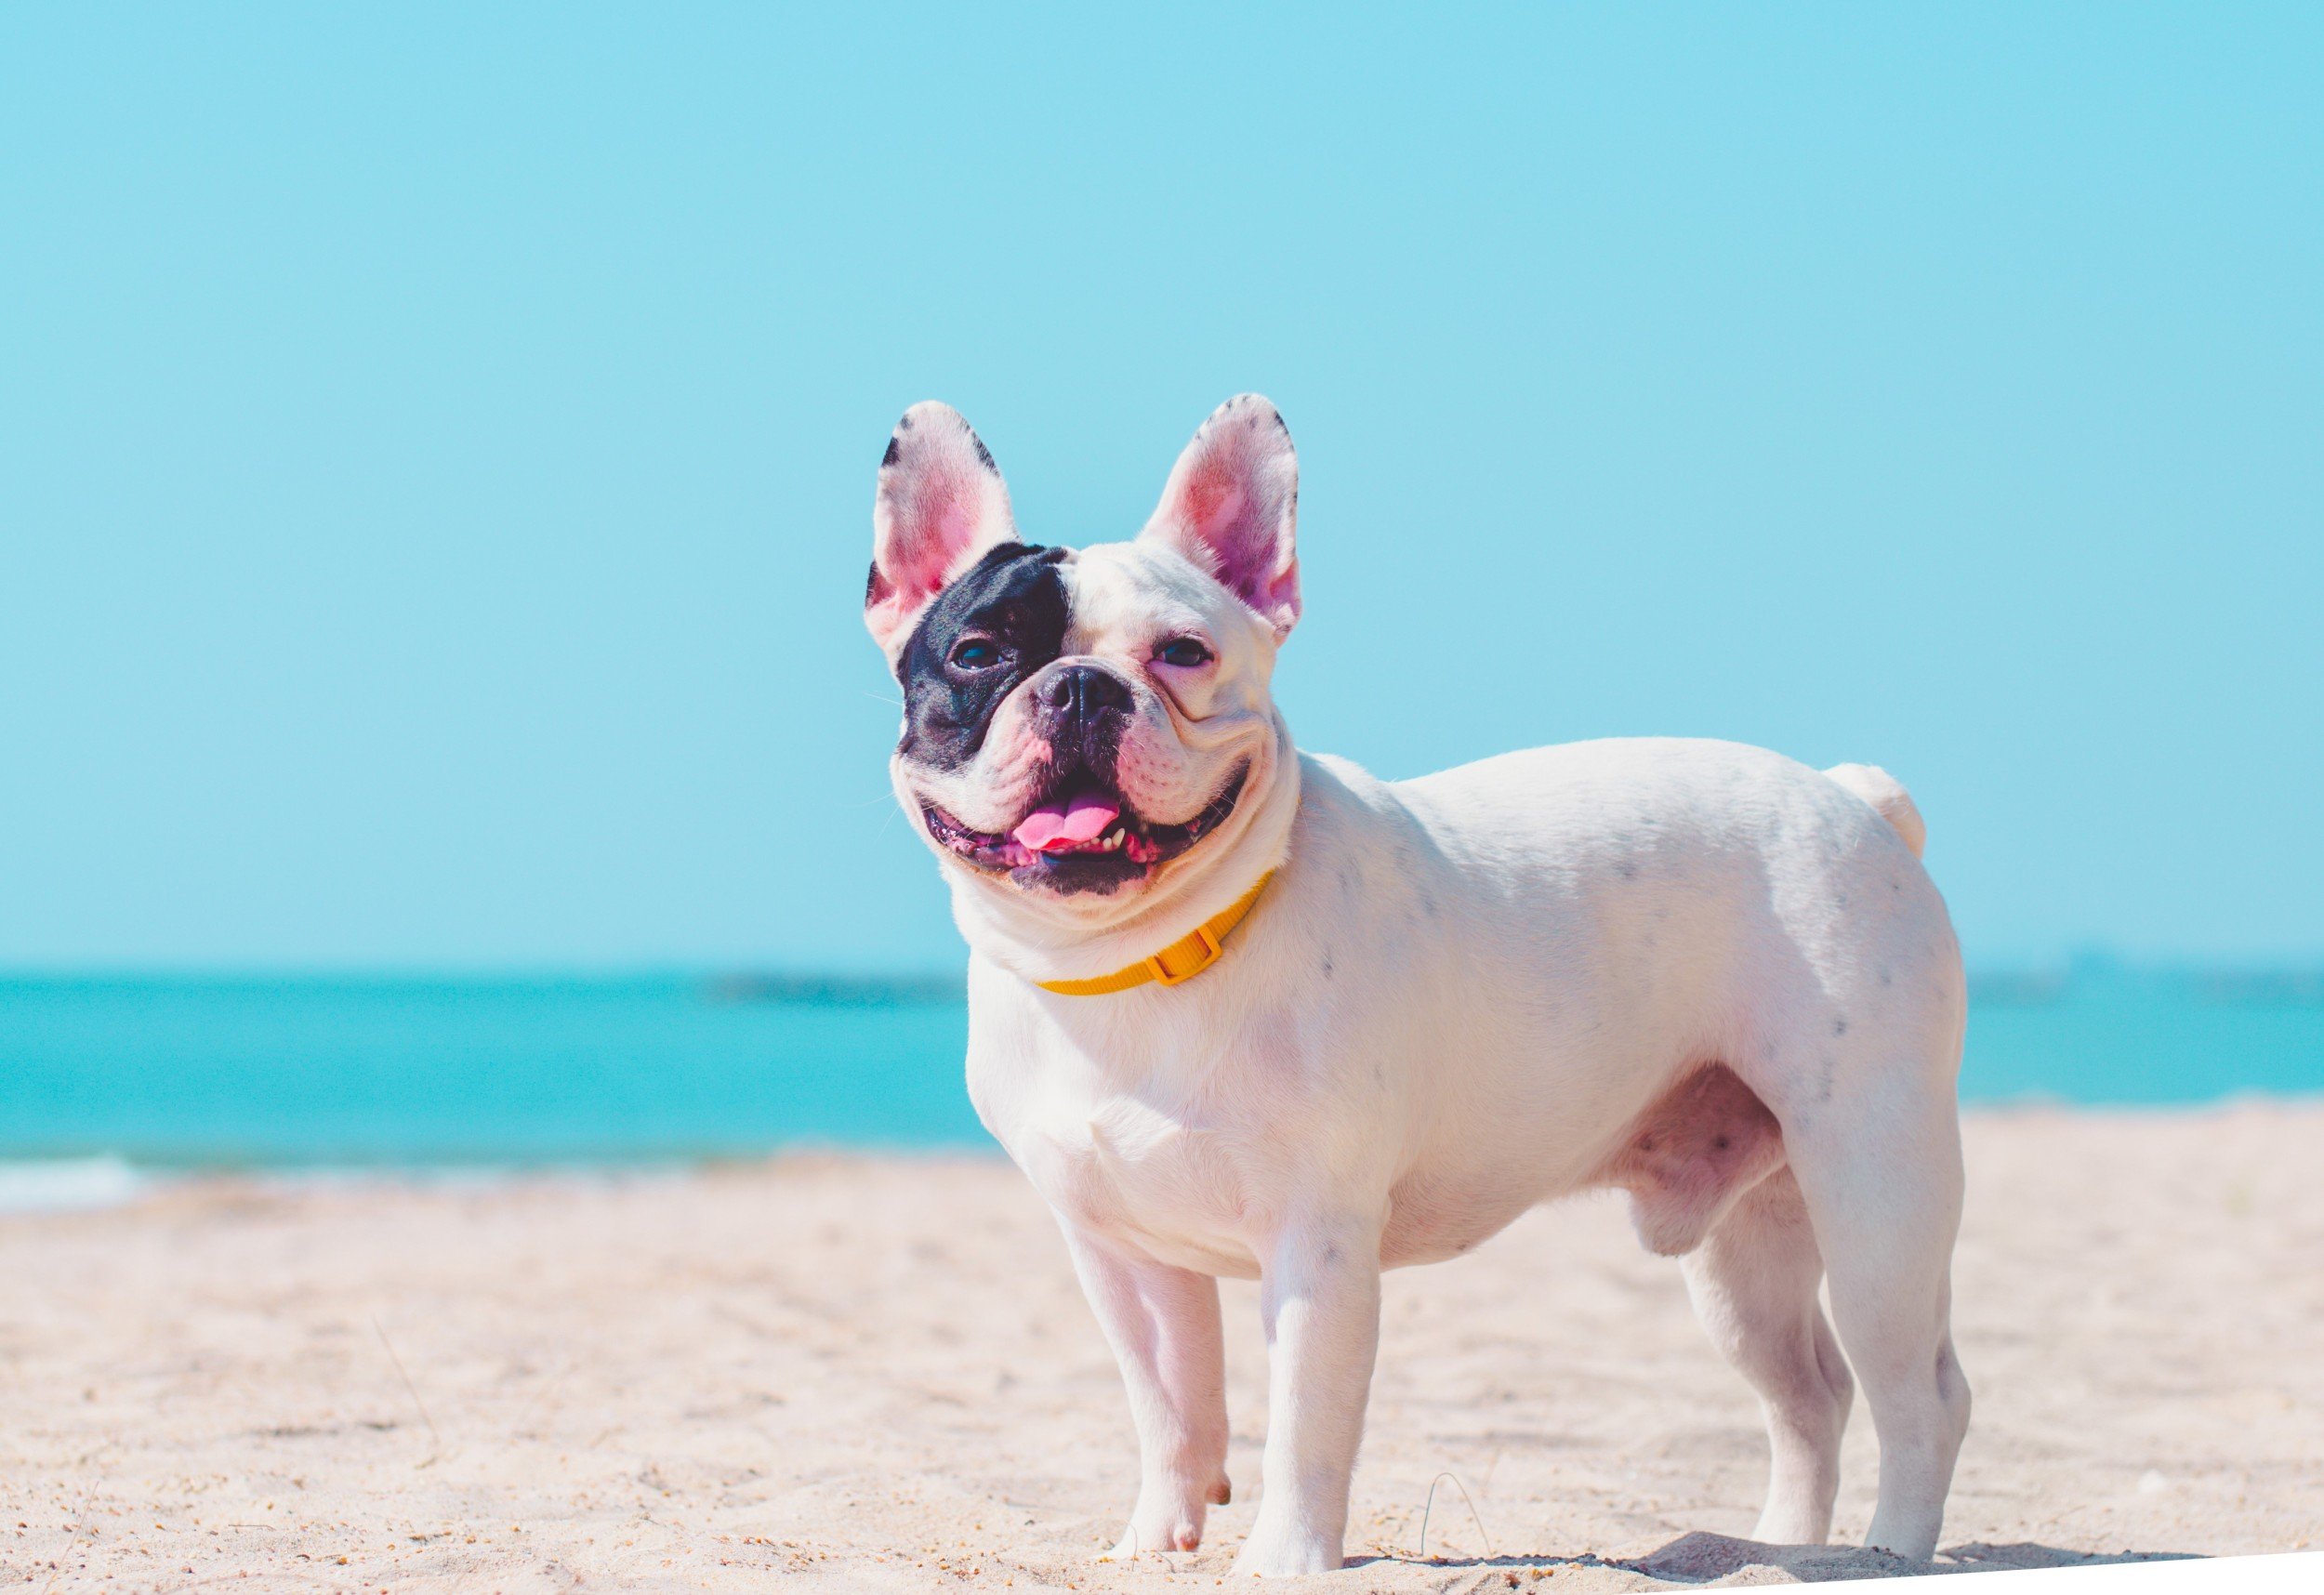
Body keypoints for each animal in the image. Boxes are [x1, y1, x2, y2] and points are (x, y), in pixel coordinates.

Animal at [865, 397, 1971, 1571]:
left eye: (1182, 653)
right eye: (977, 653)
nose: (1080, 686)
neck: (1140, 956)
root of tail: (1853, 798)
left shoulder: (1318, 1246)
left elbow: (1305, 1420)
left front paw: (1284, 1562)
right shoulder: (1119, 1254)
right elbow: (1169, 1407)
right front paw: (1155, 1544)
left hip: (1875, 1191)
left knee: (1919, 1394)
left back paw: (1891, 1553)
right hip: (1744, 1246)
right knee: (1807, 1395)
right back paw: (1791, 1552)